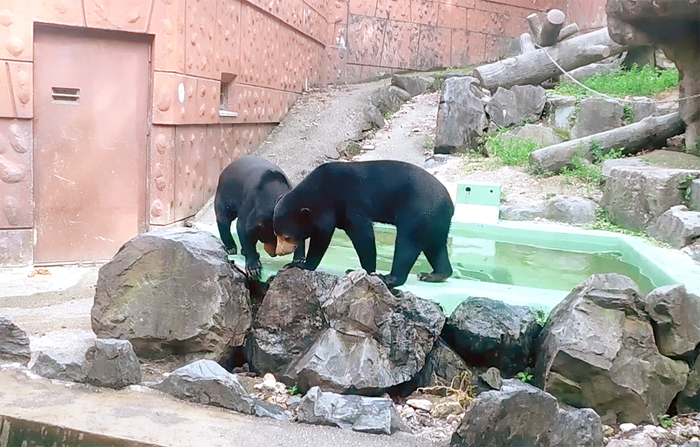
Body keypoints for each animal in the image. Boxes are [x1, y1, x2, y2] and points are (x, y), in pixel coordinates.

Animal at [274, 159, 454, 288]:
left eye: (287, 236)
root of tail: (449, 202)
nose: (279, 252)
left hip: (418, 210)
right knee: (435, 245)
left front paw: (302, 265)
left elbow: (358, 234)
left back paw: (389, 278)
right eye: (276, 234)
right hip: (434, 219)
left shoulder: (346, 202)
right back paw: (435, 274)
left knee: (407, 243)